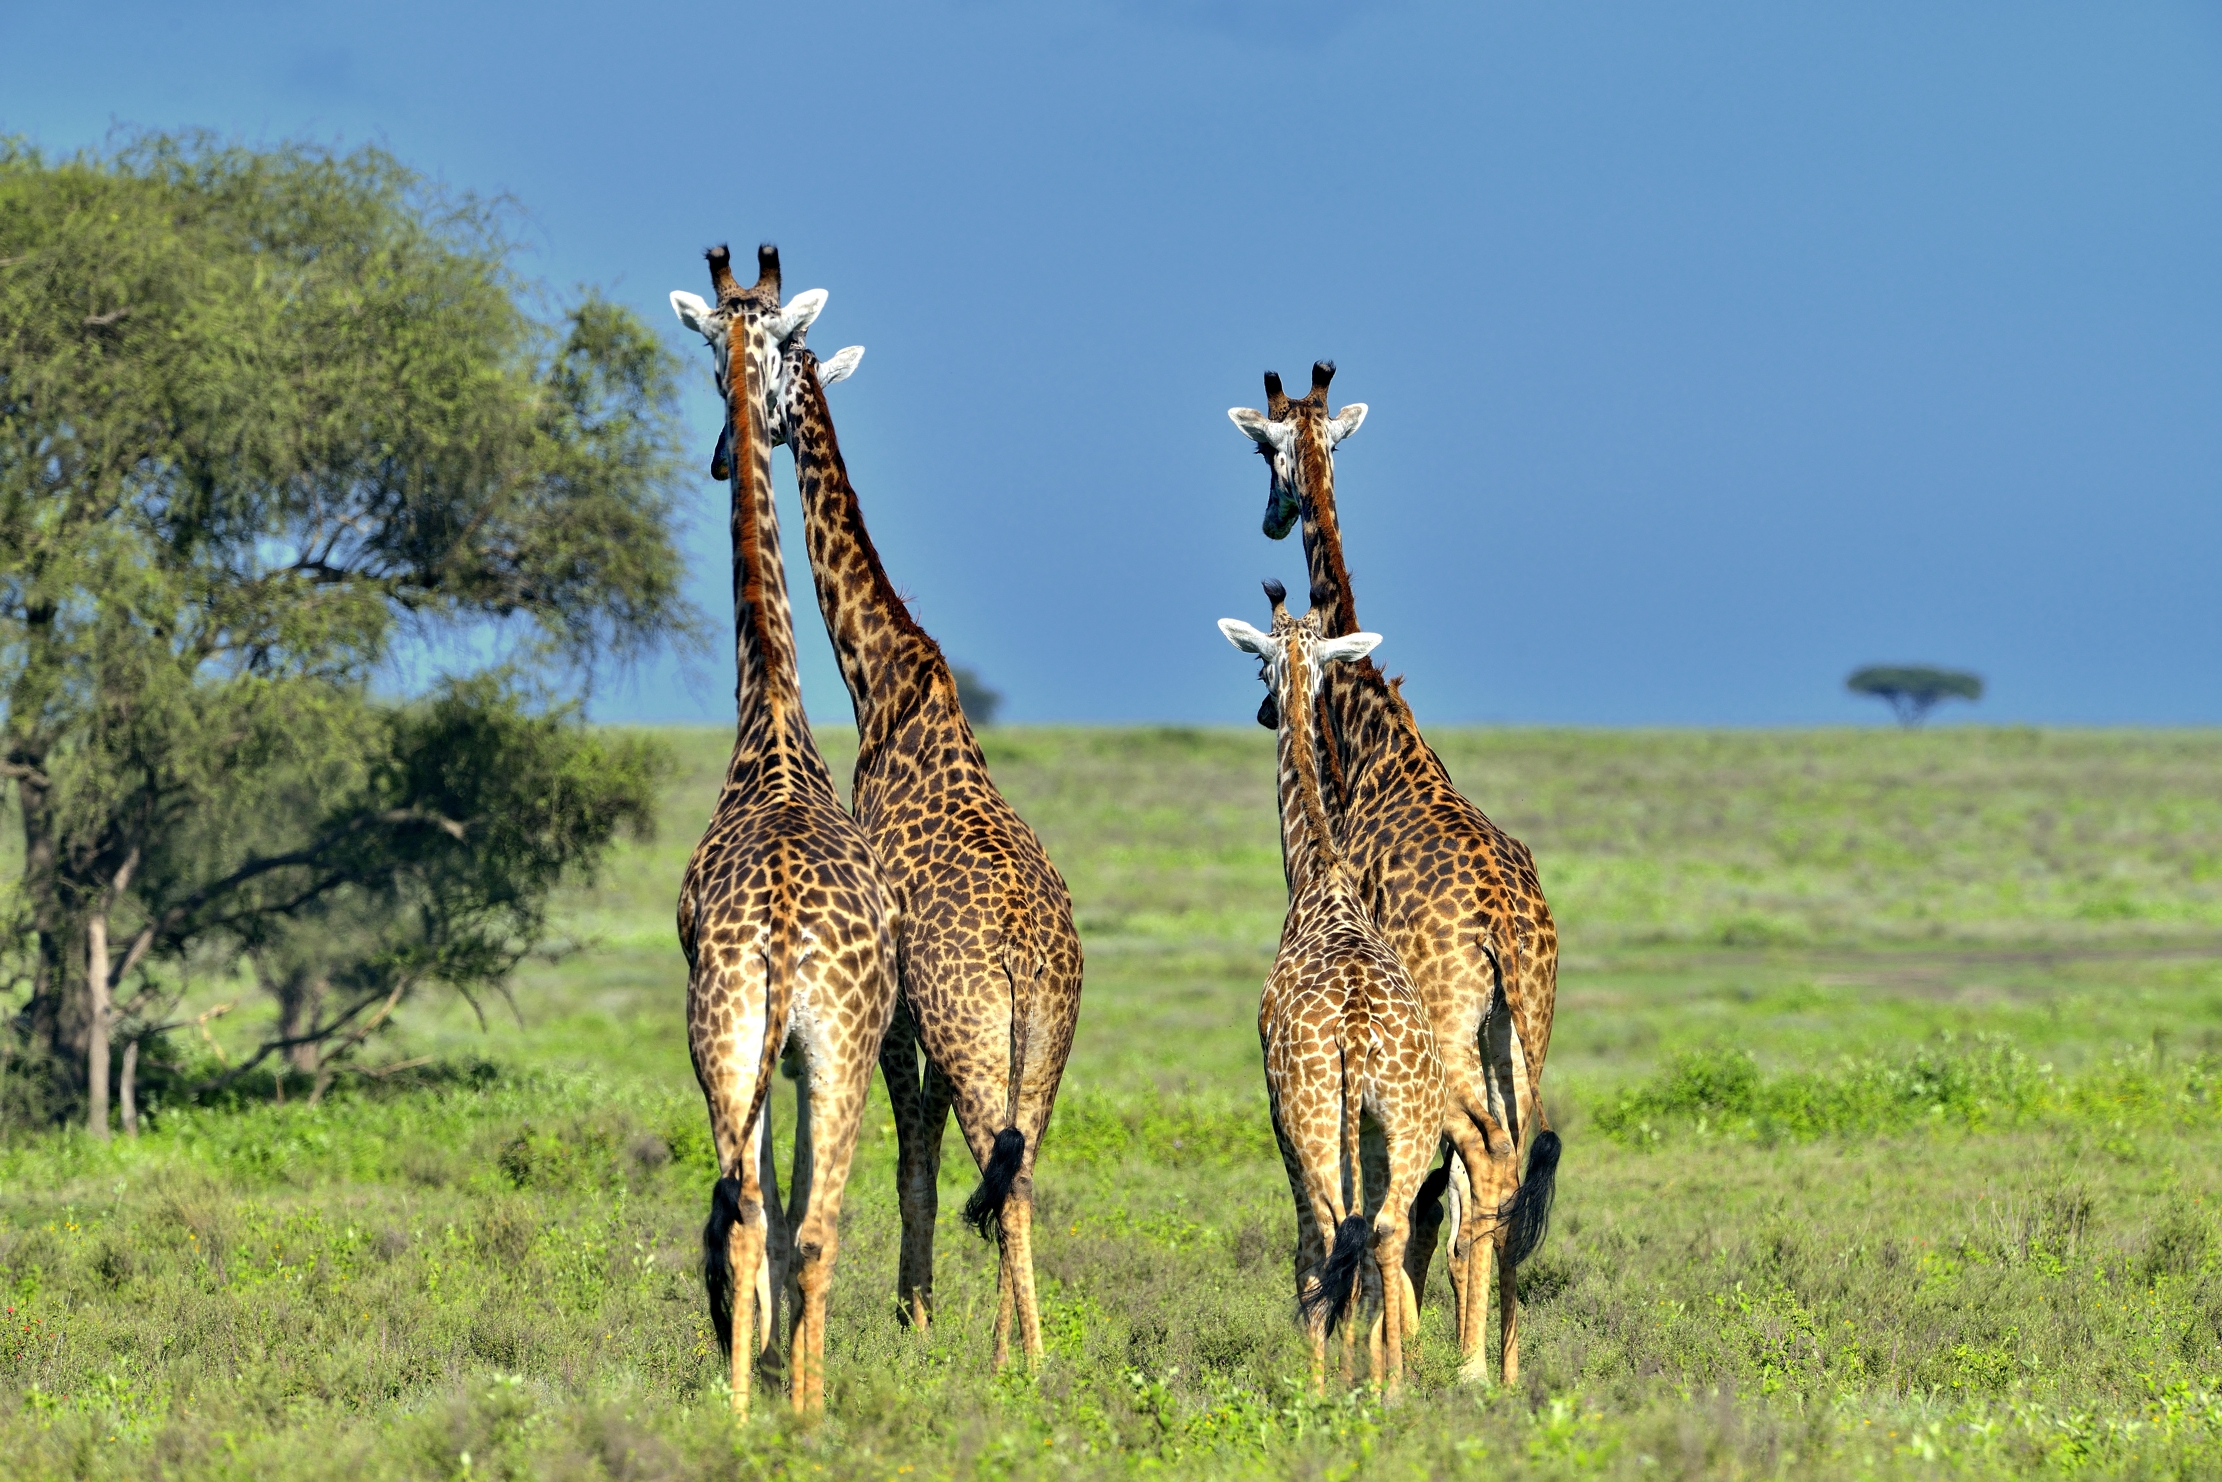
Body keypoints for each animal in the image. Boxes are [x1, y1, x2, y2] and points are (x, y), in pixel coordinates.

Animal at [768, 325, 1085, 1367]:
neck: (883, 680)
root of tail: (1027, 959)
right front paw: (935, 1318)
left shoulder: (903, 1018)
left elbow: (913, 1161)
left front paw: (915, 1318)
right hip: (1044, 1045)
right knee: (1019, 1170)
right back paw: (1008, 1347)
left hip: (974, 1033)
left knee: (1003, 1178)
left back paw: (1027, 1360)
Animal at [1219, 583, 1443, 1396]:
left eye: (1257, 665)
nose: (1264, 709)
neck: (1318, 876)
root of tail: (1353, 1029)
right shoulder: (1378, 1128)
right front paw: (1371, 1371)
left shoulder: (1275, 1108)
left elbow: (1308, 1247)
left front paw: (1330, 1374)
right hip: (1406, 1120)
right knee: (1385, 1227)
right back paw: (1391, 1384)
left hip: (1313, 1114)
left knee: (1324, 1228)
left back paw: (1322, 1384)